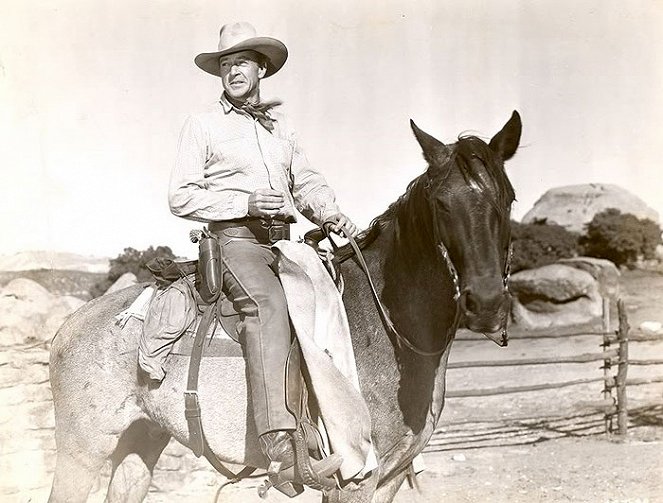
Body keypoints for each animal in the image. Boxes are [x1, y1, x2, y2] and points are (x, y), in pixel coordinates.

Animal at [48, 111, 524, 503]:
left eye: (508, 199)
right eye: (441, 205)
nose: (485, 303)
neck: (387, 329)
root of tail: (68, 327)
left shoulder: (389, 477)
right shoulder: (353, 480)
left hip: (142, 440)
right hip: (82, 452)